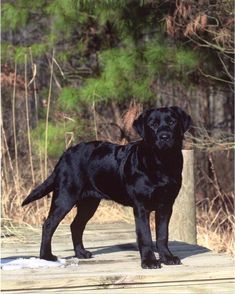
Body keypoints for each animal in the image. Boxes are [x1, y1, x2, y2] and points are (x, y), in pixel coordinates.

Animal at [21, 106, 191, 268]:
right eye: (153, 124)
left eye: (172, 122)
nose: (164, 136)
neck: (162, 163)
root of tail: (65, 154)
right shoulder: (141, 207)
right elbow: (145, 236)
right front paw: (149, 262)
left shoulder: (166, 205)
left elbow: (162, 235)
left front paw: (167, 258)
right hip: (65, 197)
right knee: (49, 225)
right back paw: (46, 256)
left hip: (89, 203)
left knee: (76, 225)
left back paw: (81, 253)